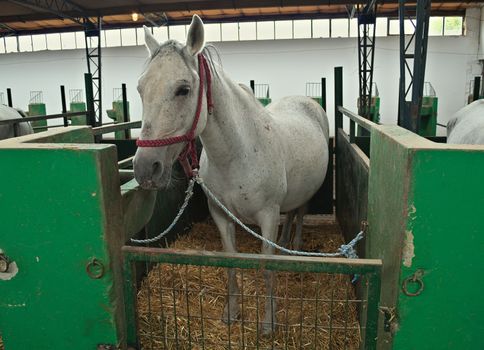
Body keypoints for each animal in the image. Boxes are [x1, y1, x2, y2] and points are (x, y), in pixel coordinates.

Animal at [132, 15, 328, 334]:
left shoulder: (267, 216)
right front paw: (231, 312)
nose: (145, 168)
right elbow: (232, 263)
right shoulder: (221, 216)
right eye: (140, 88)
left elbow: (266, 266)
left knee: (298, 214)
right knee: (290, 216)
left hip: (303, 197)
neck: (239, 153)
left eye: (183, 89)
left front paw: (268, 321)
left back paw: (294, 249)